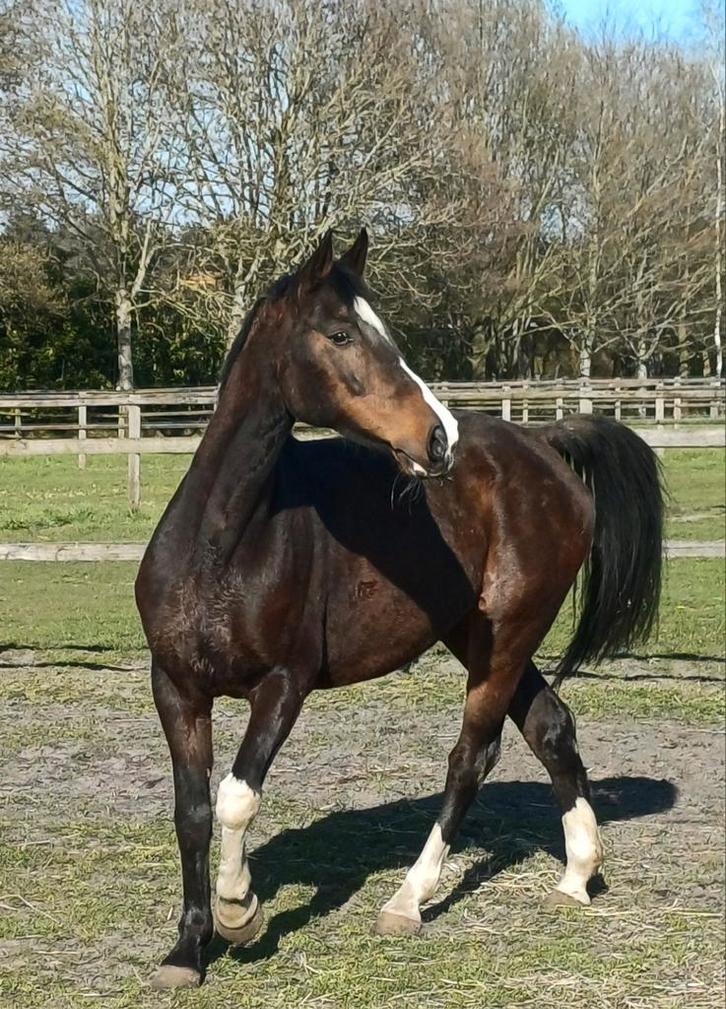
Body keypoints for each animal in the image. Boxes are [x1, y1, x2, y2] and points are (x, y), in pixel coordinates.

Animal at [135, 229, 664, 989]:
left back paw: (409, 899)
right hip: (478, 634)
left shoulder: (284, 685)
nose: (437, 438)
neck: (222, 547)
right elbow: (193, 810)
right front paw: (187, 950)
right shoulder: (176, 686)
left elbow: (238, 796)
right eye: (341, 333)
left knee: (472, 755)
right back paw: (575, 877)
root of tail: (544, 444)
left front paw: (241, 912)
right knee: (550, 727)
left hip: (507, 638)